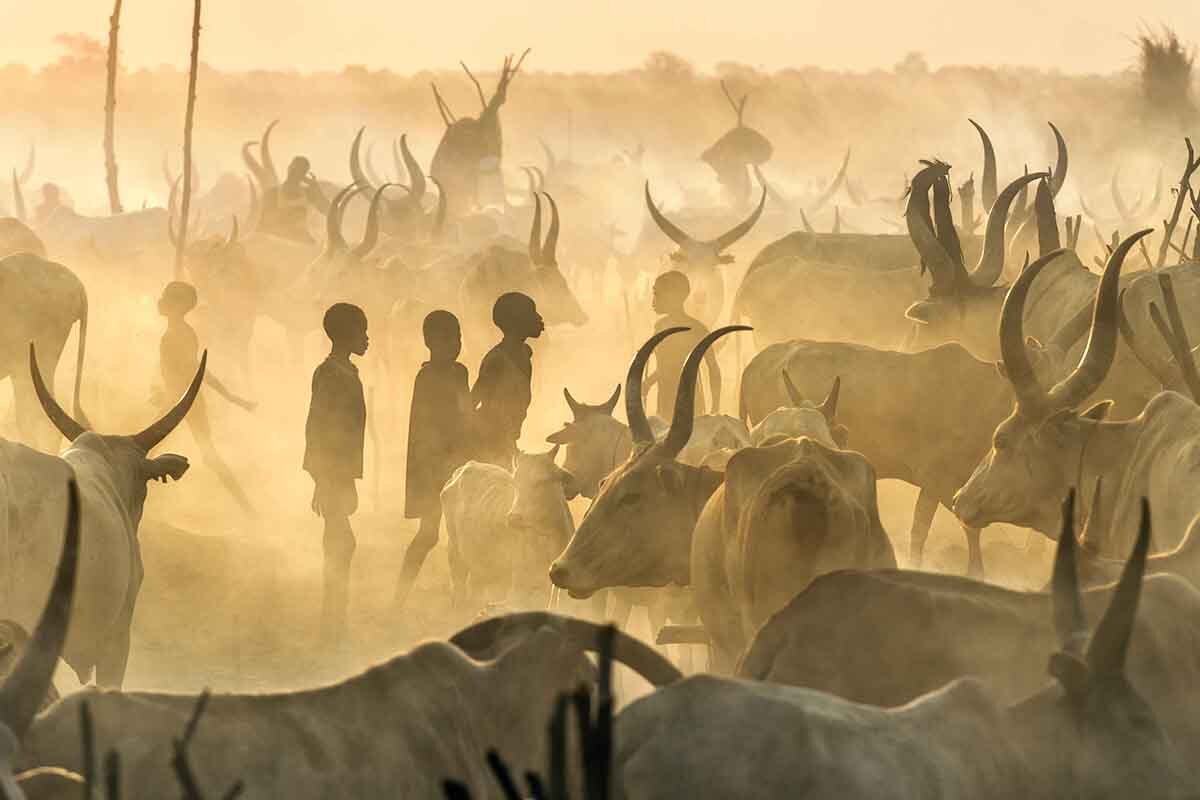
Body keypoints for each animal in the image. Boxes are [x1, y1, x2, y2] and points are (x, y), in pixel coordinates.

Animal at [441, 448, 575, 610]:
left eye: (542, 481)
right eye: (515, 482)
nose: (514, 518)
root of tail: (465, 467)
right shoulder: (519, 590)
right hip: (455, 555)